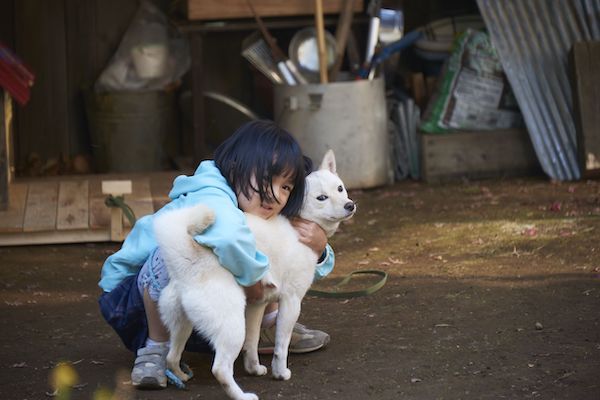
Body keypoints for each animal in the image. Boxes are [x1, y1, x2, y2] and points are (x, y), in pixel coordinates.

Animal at [152, 151, 356, 400]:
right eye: (321, 198)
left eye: (340, 188)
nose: (350, 205)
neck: (297, 224)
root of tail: (190, 261)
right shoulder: (291, 302)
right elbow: (280, 347)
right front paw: (280, 373)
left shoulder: (257, 305)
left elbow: (251, 342)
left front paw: (254, 368)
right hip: (231, 326)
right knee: (220, 369)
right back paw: (242, 395)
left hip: (182, 326)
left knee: (171, 356)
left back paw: (181, 376)